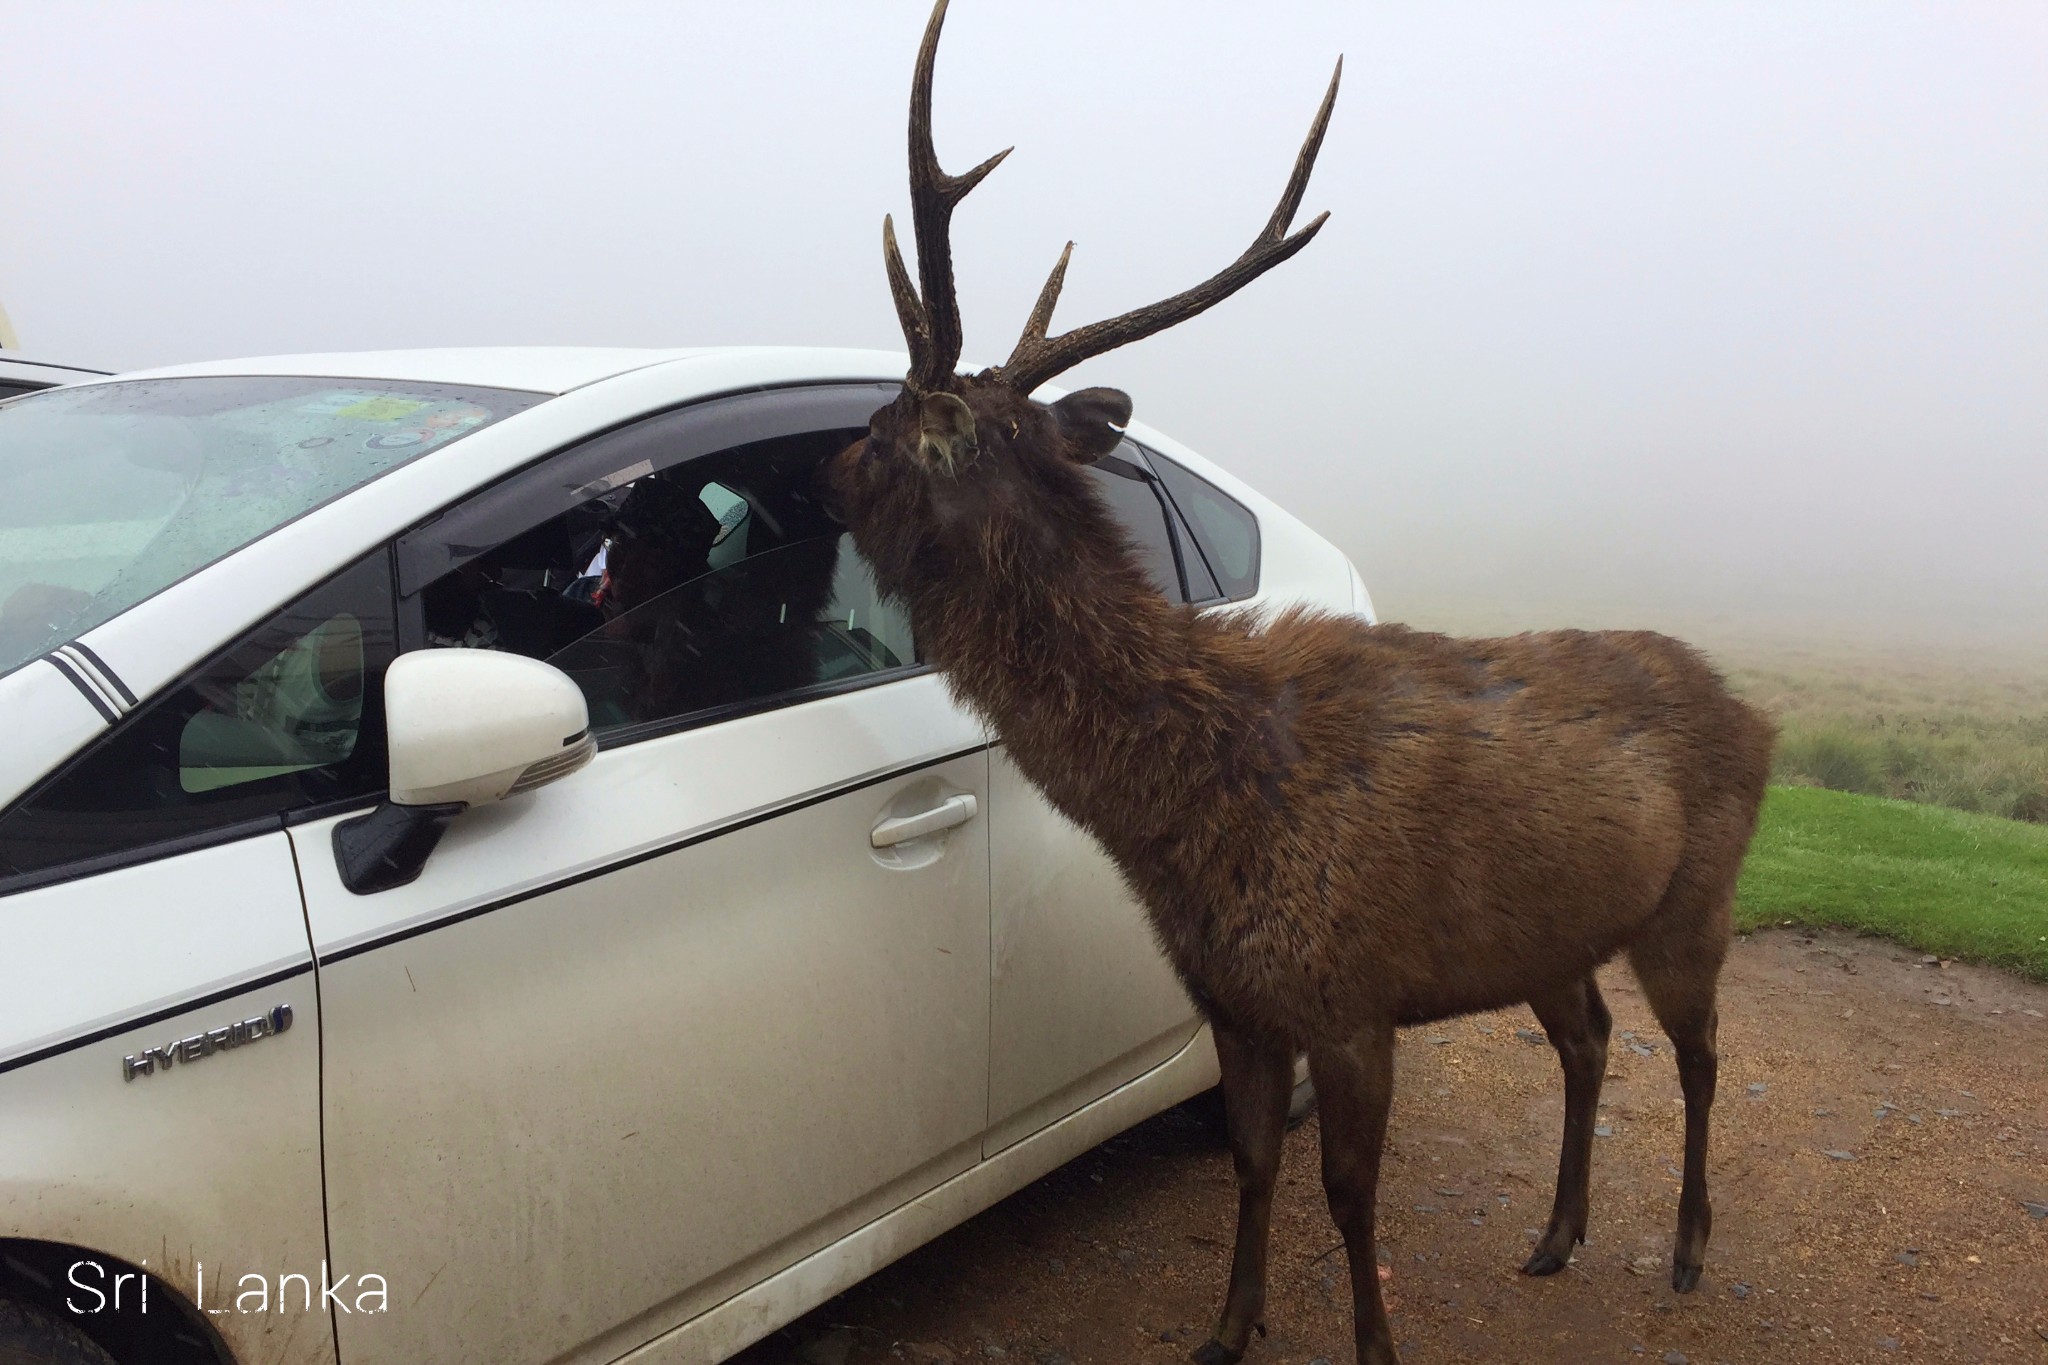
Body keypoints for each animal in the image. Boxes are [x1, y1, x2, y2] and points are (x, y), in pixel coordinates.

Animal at [819, 5, 1777, 1358]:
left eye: (892, 426)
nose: (823, 473)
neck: (1184, 817)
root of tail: (1761, 715)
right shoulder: (1230, 1000)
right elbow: (1252, 1164)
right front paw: (1227, 1327)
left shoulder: (1348, 993)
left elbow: (1350, 1193)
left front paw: (1372, 1343)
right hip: (1550, 937)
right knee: (1588, 1041)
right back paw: (1554, 1234)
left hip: (1696, 900)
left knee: (1695, 1057)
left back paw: (1687, 1248)